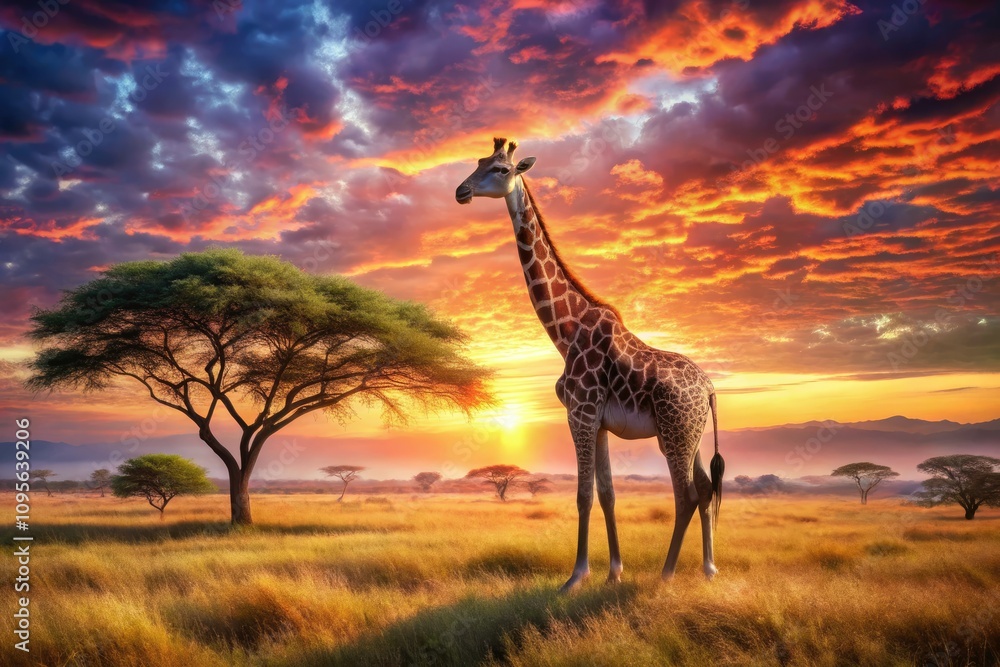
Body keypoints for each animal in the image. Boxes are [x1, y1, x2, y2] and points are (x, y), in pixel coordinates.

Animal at [455, 138, 725, 591]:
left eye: (501, 169)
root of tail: (709, 389)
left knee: (686, 495)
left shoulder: (579, 413)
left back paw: (666, 574)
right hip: (693, 434)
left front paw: (576, 576)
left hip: (674, 433)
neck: (564, 332)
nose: (461, 191)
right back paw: (708, 568)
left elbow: (582, 495)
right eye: (478, 162)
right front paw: (614, 571)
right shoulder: (597, 422)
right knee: (705, 490)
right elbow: (607, 493)